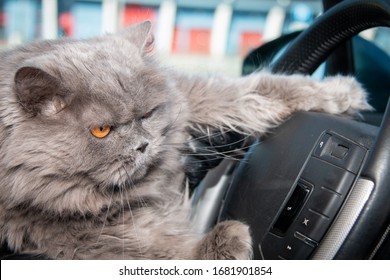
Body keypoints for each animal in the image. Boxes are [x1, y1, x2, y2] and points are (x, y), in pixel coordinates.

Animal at [0, 20, 372, 260]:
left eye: (148, 114)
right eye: (101, 131)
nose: (143, 145)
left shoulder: (191, 97)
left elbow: (258, 92)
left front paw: (344, 93)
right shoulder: (72, 234)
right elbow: (159, 252)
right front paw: (228, 240)